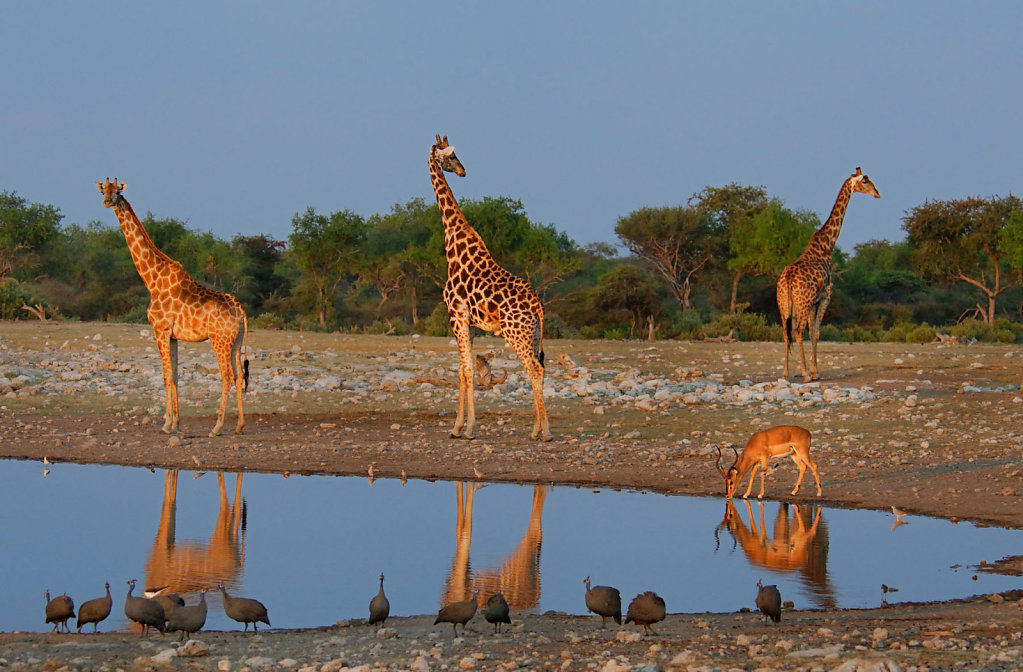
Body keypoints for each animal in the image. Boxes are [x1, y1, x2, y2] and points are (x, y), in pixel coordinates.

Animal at [96, 177, 249, 435]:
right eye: (103, 191)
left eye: (117, 191)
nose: (107, 201)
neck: (152, 280)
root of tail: (240, 311)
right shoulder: (173, 335)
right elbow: (175, 376)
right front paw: (176, 423)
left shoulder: (160, 330)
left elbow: (166, 376)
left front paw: (166, 424)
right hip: (236, 342)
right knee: (238, 376)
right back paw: (239, 426)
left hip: (219, 340)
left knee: (227, 376)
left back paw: (217, 427)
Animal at [425, 136, 552, 439]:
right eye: (452, 156)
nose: (462, 171)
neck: (452, 246)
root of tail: (538, 306)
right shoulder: (467, 321)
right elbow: (462, 370)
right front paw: (457, 428)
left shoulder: (456, 315)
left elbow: (468, 370)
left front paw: (468, 428)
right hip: (533, 333)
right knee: (540, 368)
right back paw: (536, 430)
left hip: (515, 333)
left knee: (535, 369)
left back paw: (543, 432)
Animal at [773, 165, 879, 380]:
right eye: (865, 181)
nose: (877, 193)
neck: (827, 245)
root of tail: (787, 279)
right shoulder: (825, 297)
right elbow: (816, 332)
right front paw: (815, 372)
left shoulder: (813, 301)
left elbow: (812, 331)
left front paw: (813, 370)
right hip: (802, 303)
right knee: (797, 331)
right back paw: (804, 373)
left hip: (784, 304)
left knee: (786, 332)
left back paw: (786, 372)